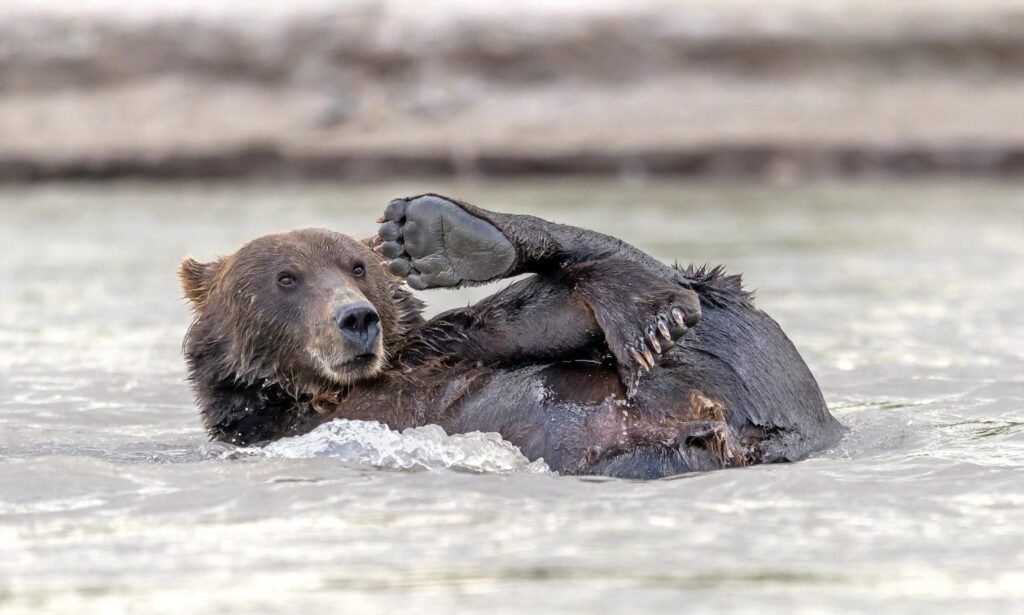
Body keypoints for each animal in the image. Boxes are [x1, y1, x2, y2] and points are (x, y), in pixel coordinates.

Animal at [180, 194, 843, 476]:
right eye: (286, 278)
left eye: (356, 267)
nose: (356, 318)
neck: (318, 392)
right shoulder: (274, 425)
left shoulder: (431, 351)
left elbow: (521, 323)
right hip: (716, 401)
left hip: (742, 366)